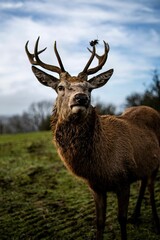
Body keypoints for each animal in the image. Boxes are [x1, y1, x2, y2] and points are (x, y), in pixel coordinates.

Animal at [25, 36, 160, 239]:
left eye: (89, 88)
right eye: (60, 87)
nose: (81, 98)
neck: (100, 165)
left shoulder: (124, 179)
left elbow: (120, 219)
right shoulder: (95, 186)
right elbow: (99, 222)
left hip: (156, 163)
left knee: (151, 187)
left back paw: (156, 220)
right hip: (144, 164)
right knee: (144, 182)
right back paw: (136, 216)